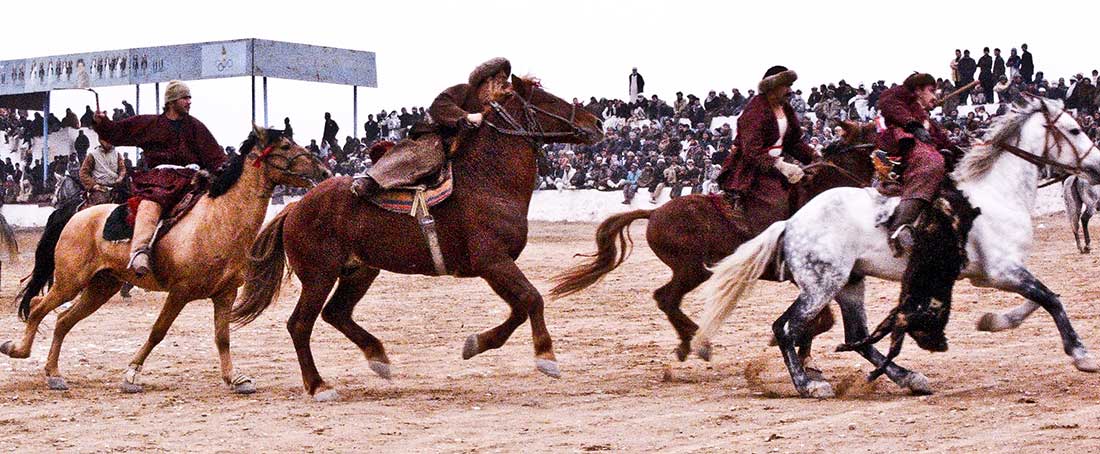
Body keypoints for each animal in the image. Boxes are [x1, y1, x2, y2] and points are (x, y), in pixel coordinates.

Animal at [1, 126, 325, 393]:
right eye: (285, 146)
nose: (321, 168)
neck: (218, 220)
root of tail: (74, 216)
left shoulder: (225, 294)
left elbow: (222, 337)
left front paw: (235, 379)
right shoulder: (179, 293)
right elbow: (158, 331)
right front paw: (131, 375)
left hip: (100, 287)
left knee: (62, 320)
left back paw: (54, 373)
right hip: (70, 282)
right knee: (39, 307)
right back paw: (18, 350)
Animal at [225, 75, 602, 402]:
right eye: (547, 100)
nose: (597, 123)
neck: (488, 182)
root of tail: (295, 207)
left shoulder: (492, 267)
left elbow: (520, 308)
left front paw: (475, 344)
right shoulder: (493, 261)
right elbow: (532, 299)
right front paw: (546, 357)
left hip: (360, 270)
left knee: (337, 313)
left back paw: (378, 358)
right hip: (319, 276)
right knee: (300, 324)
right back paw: (319, 386)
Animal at [550, 120, 875, 360]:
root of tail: (655, 213)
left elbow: (821, 320)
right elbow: (822, 319)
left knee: (666, 300)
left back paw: (692, 342)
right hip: (691, 270)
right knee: (666, 298)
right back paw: (697, 342)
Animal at [690, 95, 1095, 395]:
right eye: (1074, 129)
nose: (1096, 166)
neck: (995, 194)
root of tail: (791, 222)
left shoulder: (1001, 273)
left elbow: (1041, 298)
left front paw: (993, 321)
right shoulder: (1002, 271)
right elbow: (1050, 299)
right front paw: (1081, 354)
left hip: (850, 284)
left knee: (856, 337)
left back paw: (909, 377)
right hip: (822, 286)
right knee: (787, 328)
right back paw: (809, 384)